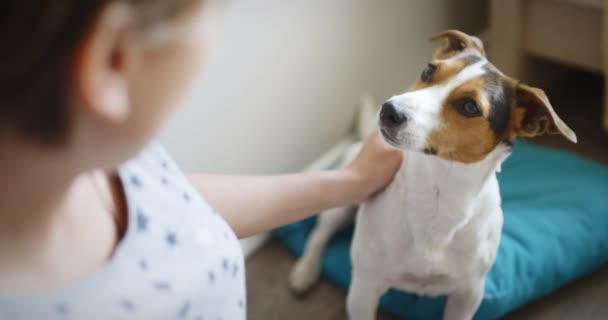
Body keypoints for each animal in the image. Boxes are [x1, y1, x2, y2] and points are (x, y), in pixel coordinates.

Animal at [288, 30, 576, 320]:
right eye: (429, 70)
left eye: (470, 106)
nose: (389, 110)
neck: (436, 191)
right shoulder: (363, 288)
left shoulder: (468, 294)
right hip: (343, 198)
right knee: (318, 235)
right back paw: (305, 272)